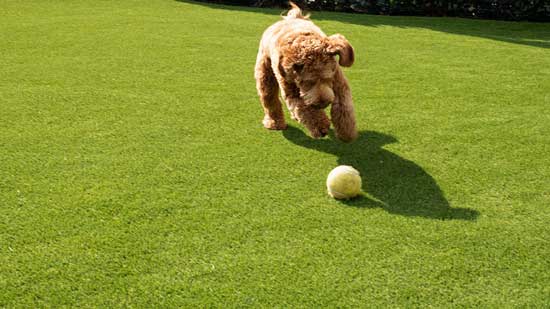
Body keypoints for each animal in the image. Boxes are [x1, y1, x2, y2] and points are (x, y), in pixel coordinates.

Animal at [256, 1, 360, 141]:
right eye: (307, 82)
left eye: (328, 79)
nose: (322, 103)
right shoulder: (292, 90)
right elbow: (306, 110)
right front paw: (321, 127)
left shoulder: (339, 84)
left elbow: (344, 108)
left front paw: (347, 133)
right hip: (265, 73)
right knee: (269, 98)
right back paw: (274, 123)